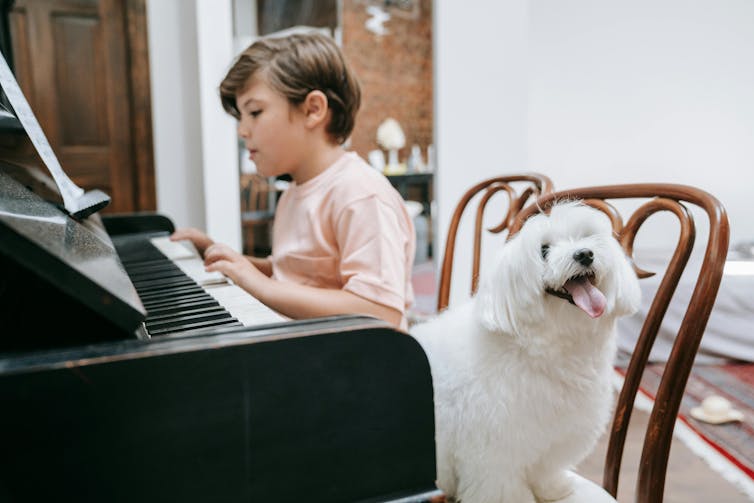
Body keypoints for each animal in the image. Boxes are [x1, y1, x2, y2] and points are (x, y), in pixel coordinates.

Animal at [412, 202, 640, 503]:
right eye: (544, 250)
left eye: (586, 237)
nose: (585, 254)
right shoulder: (494, 452)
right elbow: (503, 489)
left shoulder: (553, 437)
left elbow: (545, 468)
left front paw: (553, 489)